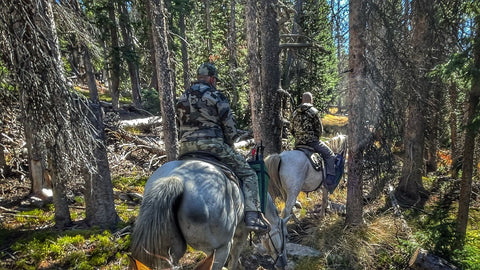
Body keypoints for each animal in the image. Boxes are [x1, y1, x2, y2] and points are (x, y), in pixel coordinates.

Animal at [130, 159, 288, 268]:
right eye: (285, 235)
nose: (284, 263)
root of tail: (175, 178)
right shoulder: (240, 236)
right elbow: (234, 258)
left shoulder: (208, 250)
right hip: (221, 248)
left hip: (171, 251)